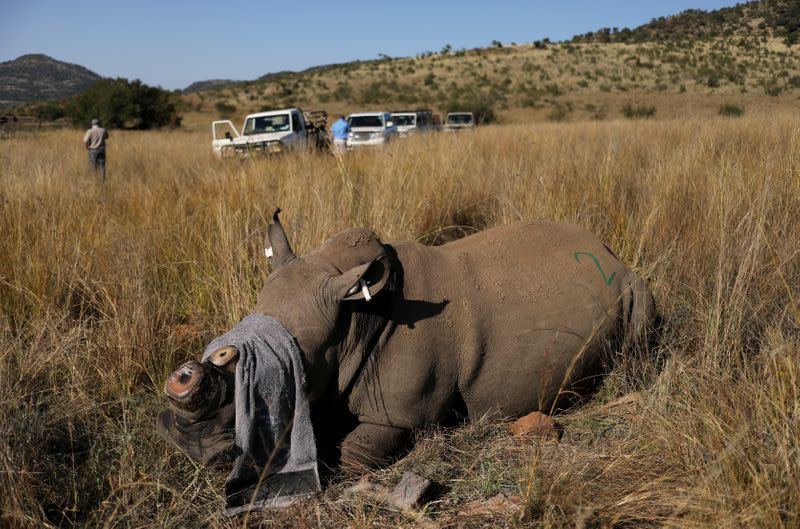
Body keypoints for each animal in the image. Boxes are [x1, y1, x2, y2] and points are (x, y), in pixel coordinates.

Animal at [158, 209, 656, 508]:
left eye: (269, 380)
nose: (189, 444)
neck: (352, 316)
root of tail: (609, 252)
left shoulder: (398, 416)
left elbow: (352, 454)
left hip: (633, 288)